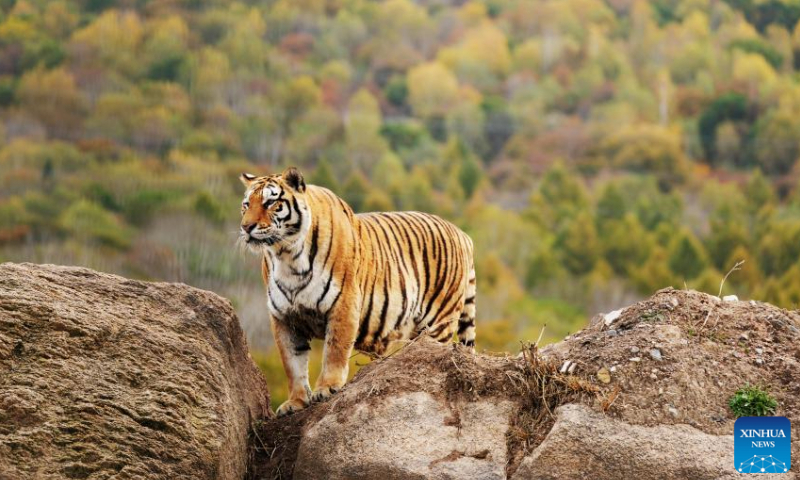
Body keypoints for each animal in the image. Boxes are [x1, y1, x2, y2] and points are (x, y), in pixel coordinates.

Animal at [238, 168, 476, 416]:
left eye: (270, 202)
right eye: (246, 204)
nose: (246, 227)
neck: (287, 255)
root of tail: (462, 234)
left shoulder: (343, 304)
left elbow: (334, 351)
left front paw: (327, 388)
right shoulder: (284, 317)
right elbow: (292, 363)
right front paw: (296, 402)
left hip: (438, 321)